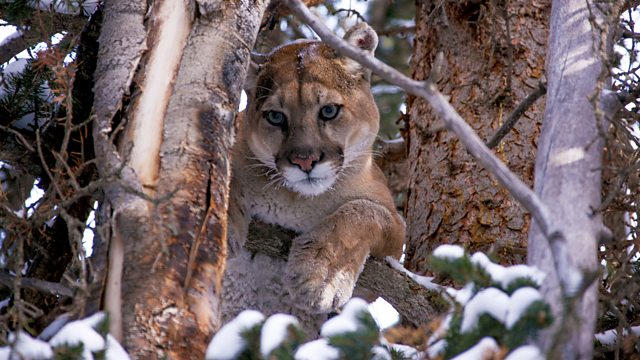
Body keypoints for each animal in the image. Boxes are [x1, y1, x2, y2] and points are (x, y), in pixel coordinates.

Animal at [222, 23, 402, 330]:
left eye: (329, 111)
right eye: (275, 117)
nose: (304, 160)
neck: (296, 200)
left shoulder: (394, 239)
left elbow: (363, 212)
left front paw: (321, 277)